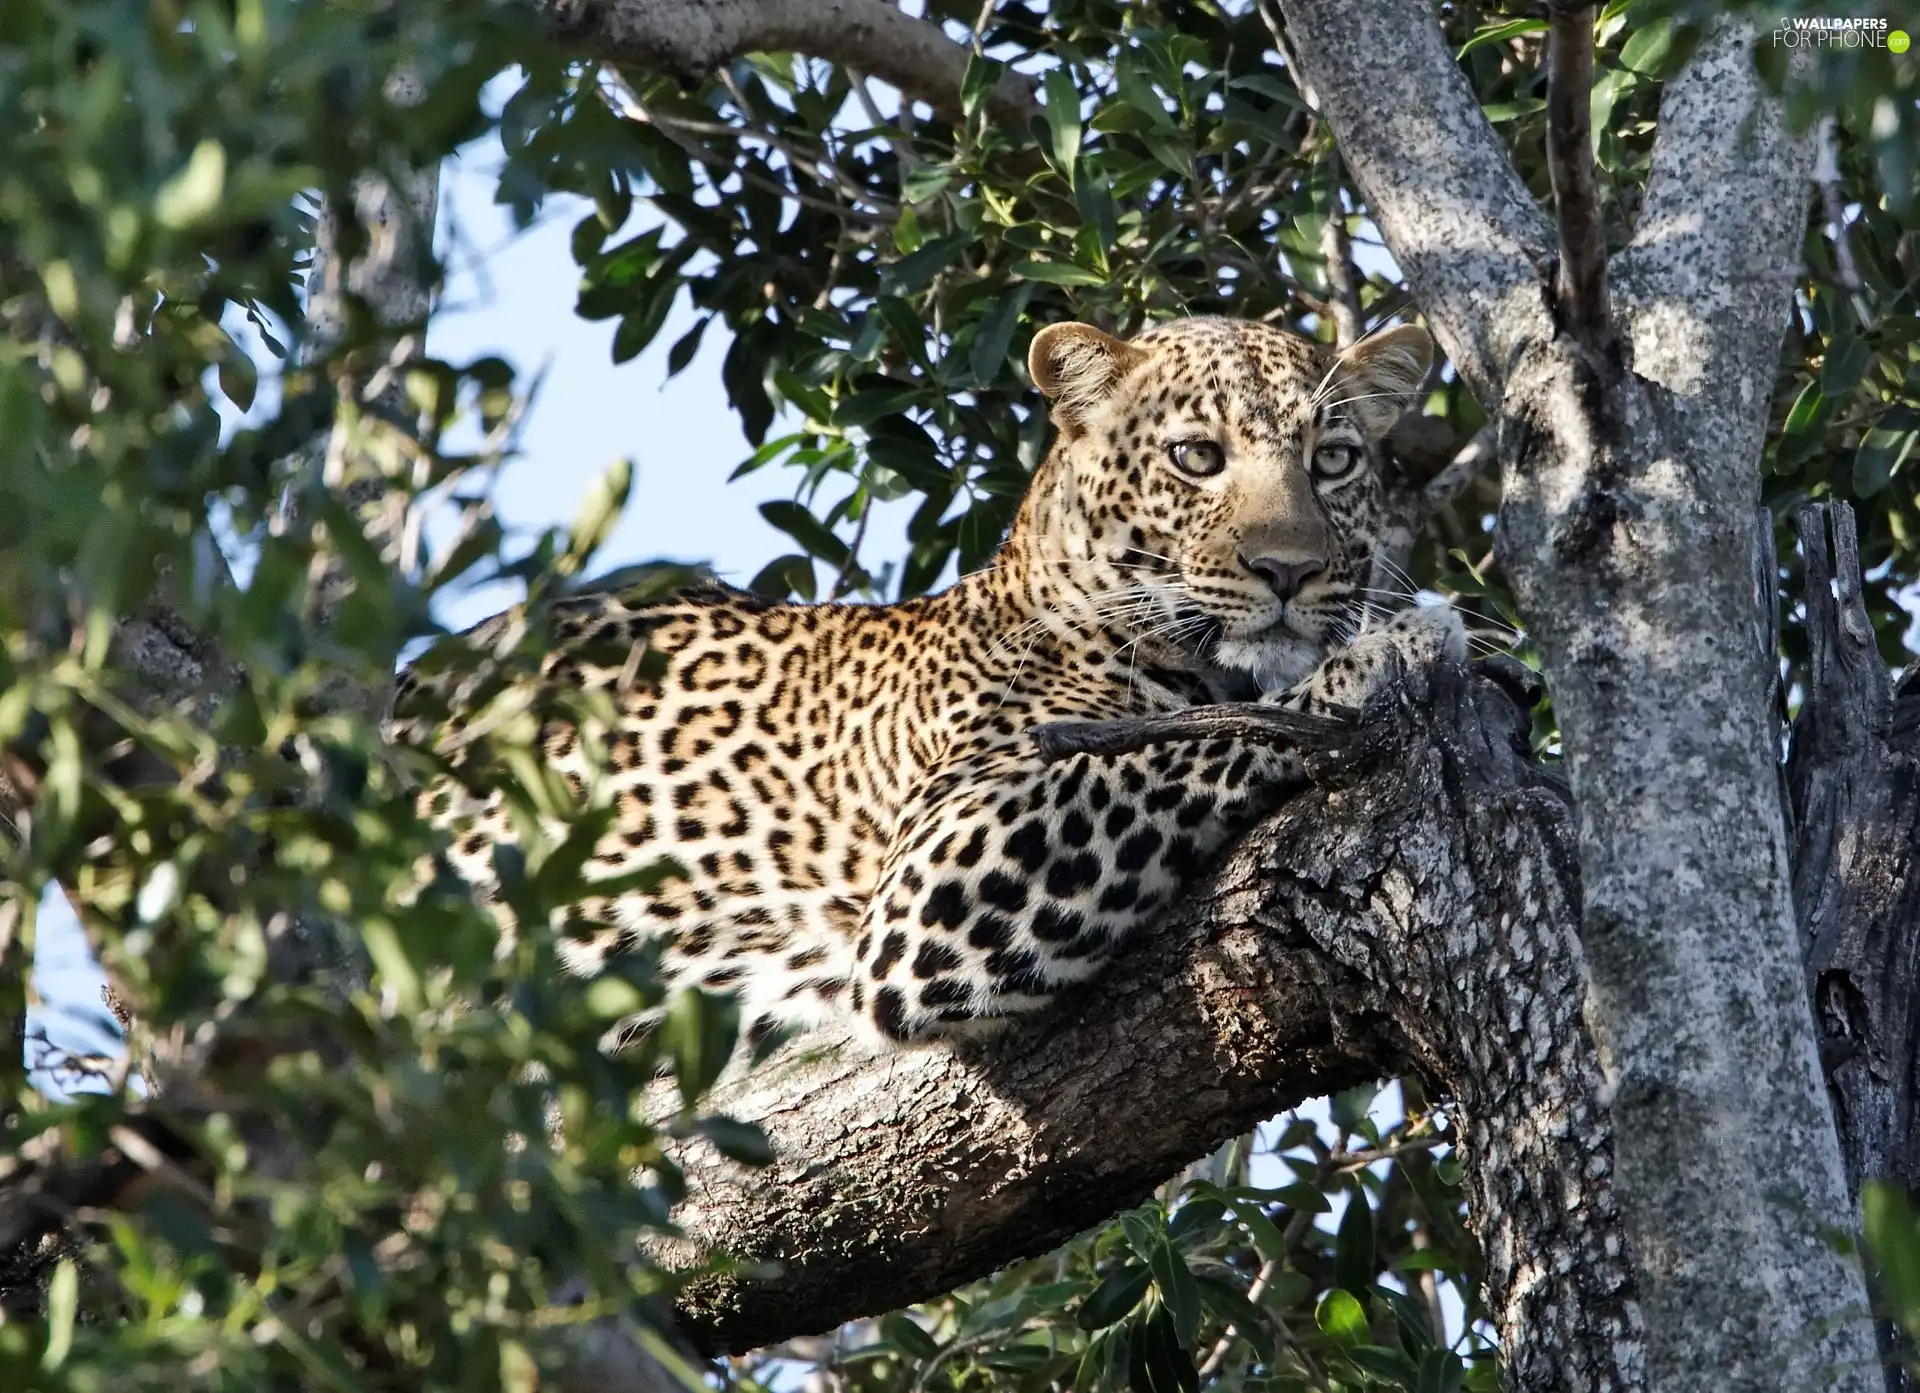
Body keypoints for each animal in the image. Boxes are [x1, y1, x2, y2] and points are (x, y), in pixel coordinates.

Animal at [393, 316, 1466, 1051]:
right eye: (1197, 456)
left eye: (1334, 462)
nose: (1290, 569)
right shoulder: (934, 873)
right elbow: (1190, 735)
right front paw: (1396, 647)